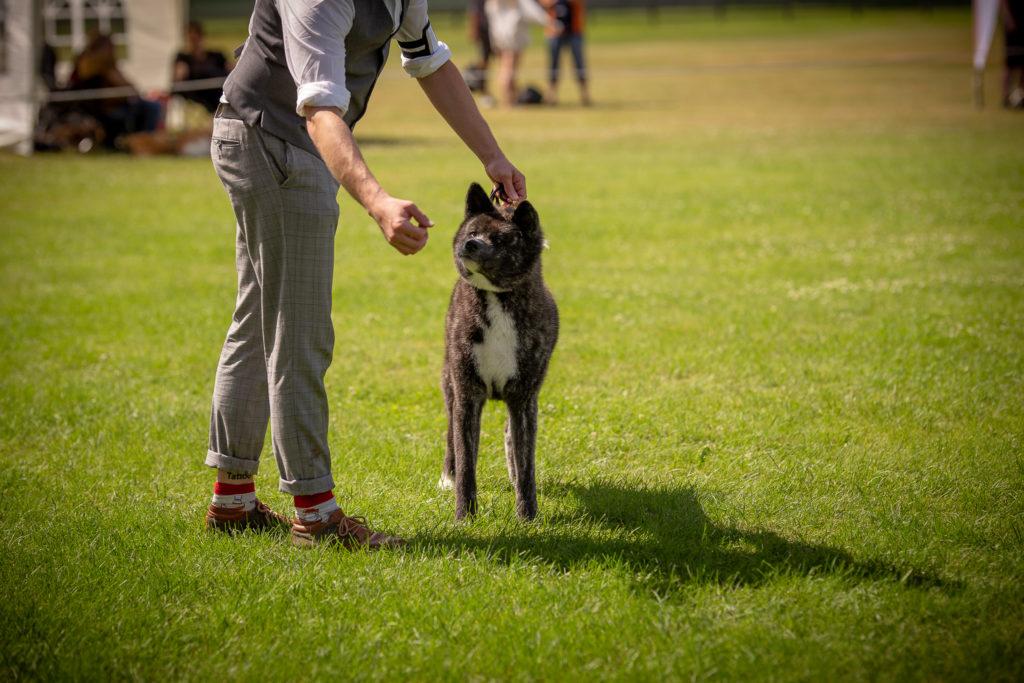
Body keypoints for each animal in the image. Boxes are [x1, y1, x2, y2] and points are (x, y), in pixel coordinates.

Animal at [436, 184, 557, 520]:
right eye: (473, 231)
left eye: (502, 239)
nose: (470, 244)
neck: (496, 299)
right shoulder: (467, 395)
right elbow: (467, 462)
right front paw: (464, 517)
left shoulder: (524, 400)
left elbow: (526, 463)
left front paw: (527, 516)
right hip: (449, 385)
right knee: (451, 438)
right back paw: (447, 477)